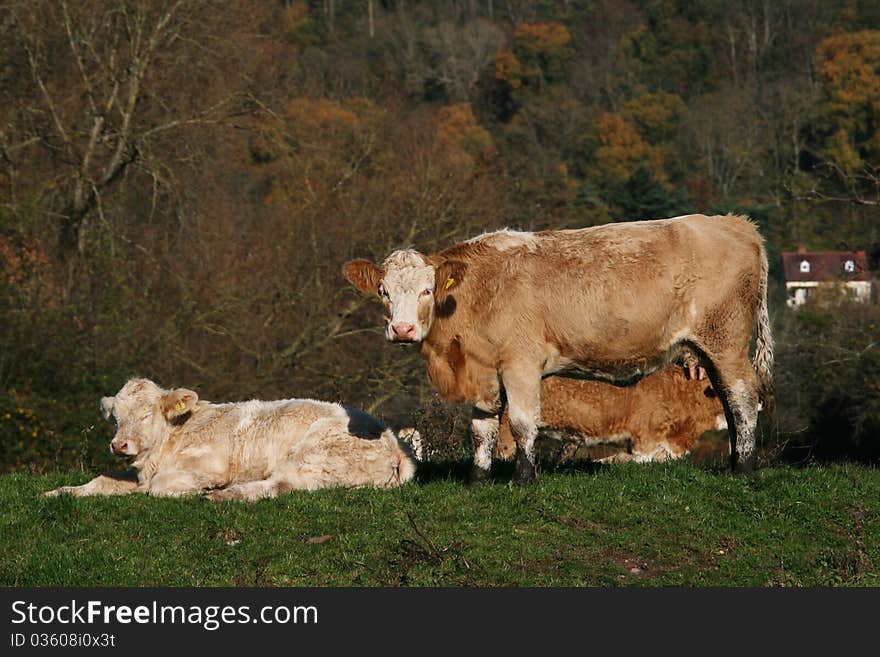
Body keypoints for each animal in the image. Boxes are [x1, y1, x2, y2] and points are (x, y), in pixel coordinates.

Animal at [43, 376, 422, 500]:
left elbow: (160, 488)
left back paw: (224, 495)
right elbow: (99, 481)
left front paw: (199, 490)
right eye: (116, 418)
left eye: (147, 414)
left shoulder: (206, 465)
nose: (120, 444)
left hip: (312, 456)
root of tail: (393, 441)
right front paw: (57, 492)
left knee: (279, 487)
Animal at [344, 213, 768, 484]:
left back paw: (743, 466)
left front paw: (524, 478)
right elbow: (482, 428)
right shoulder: (483, 369)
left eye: (427, 290)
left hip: (725, 340)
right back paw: (734, 458)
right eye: (383, 291)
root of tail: (732, 222)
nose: (402, 329)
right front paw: (477, 479)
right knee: (728, 399)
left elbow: (521, 422)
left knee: (743, 396)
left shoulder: (521, 364)